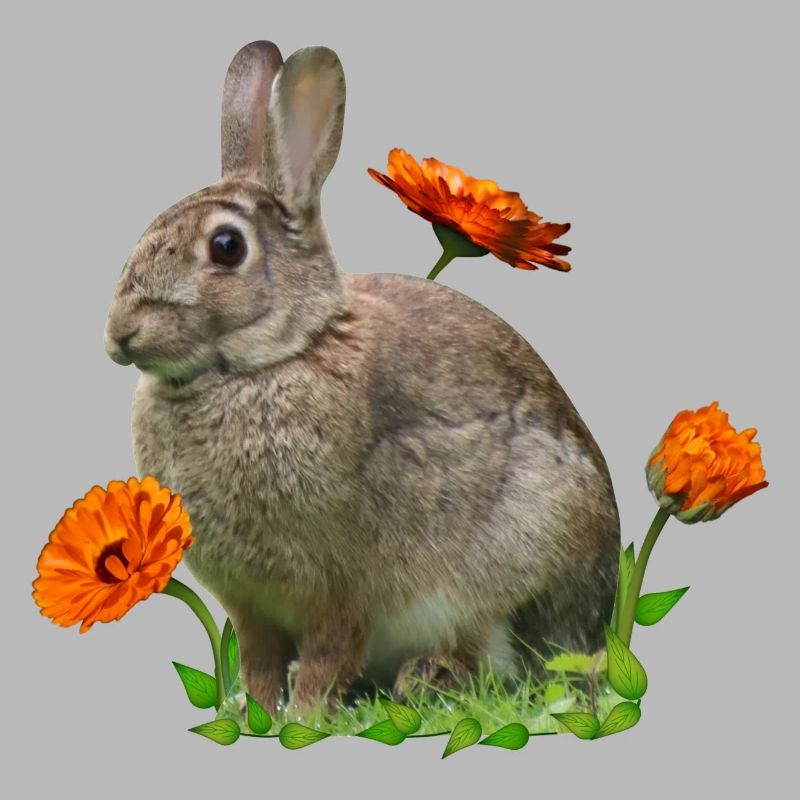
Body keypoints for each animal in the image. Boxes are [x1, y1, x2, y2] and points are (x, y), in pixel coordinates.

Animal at [104, 40, 620, 711]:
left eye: (226, 247)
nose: (120, 333)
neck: (272, 359)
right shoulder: (252, 607)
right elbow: (261, 663)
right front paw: (255, 713)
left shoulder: (339, 589)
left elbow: (328, 656)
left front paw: (303, 717)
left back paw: (429, 677)